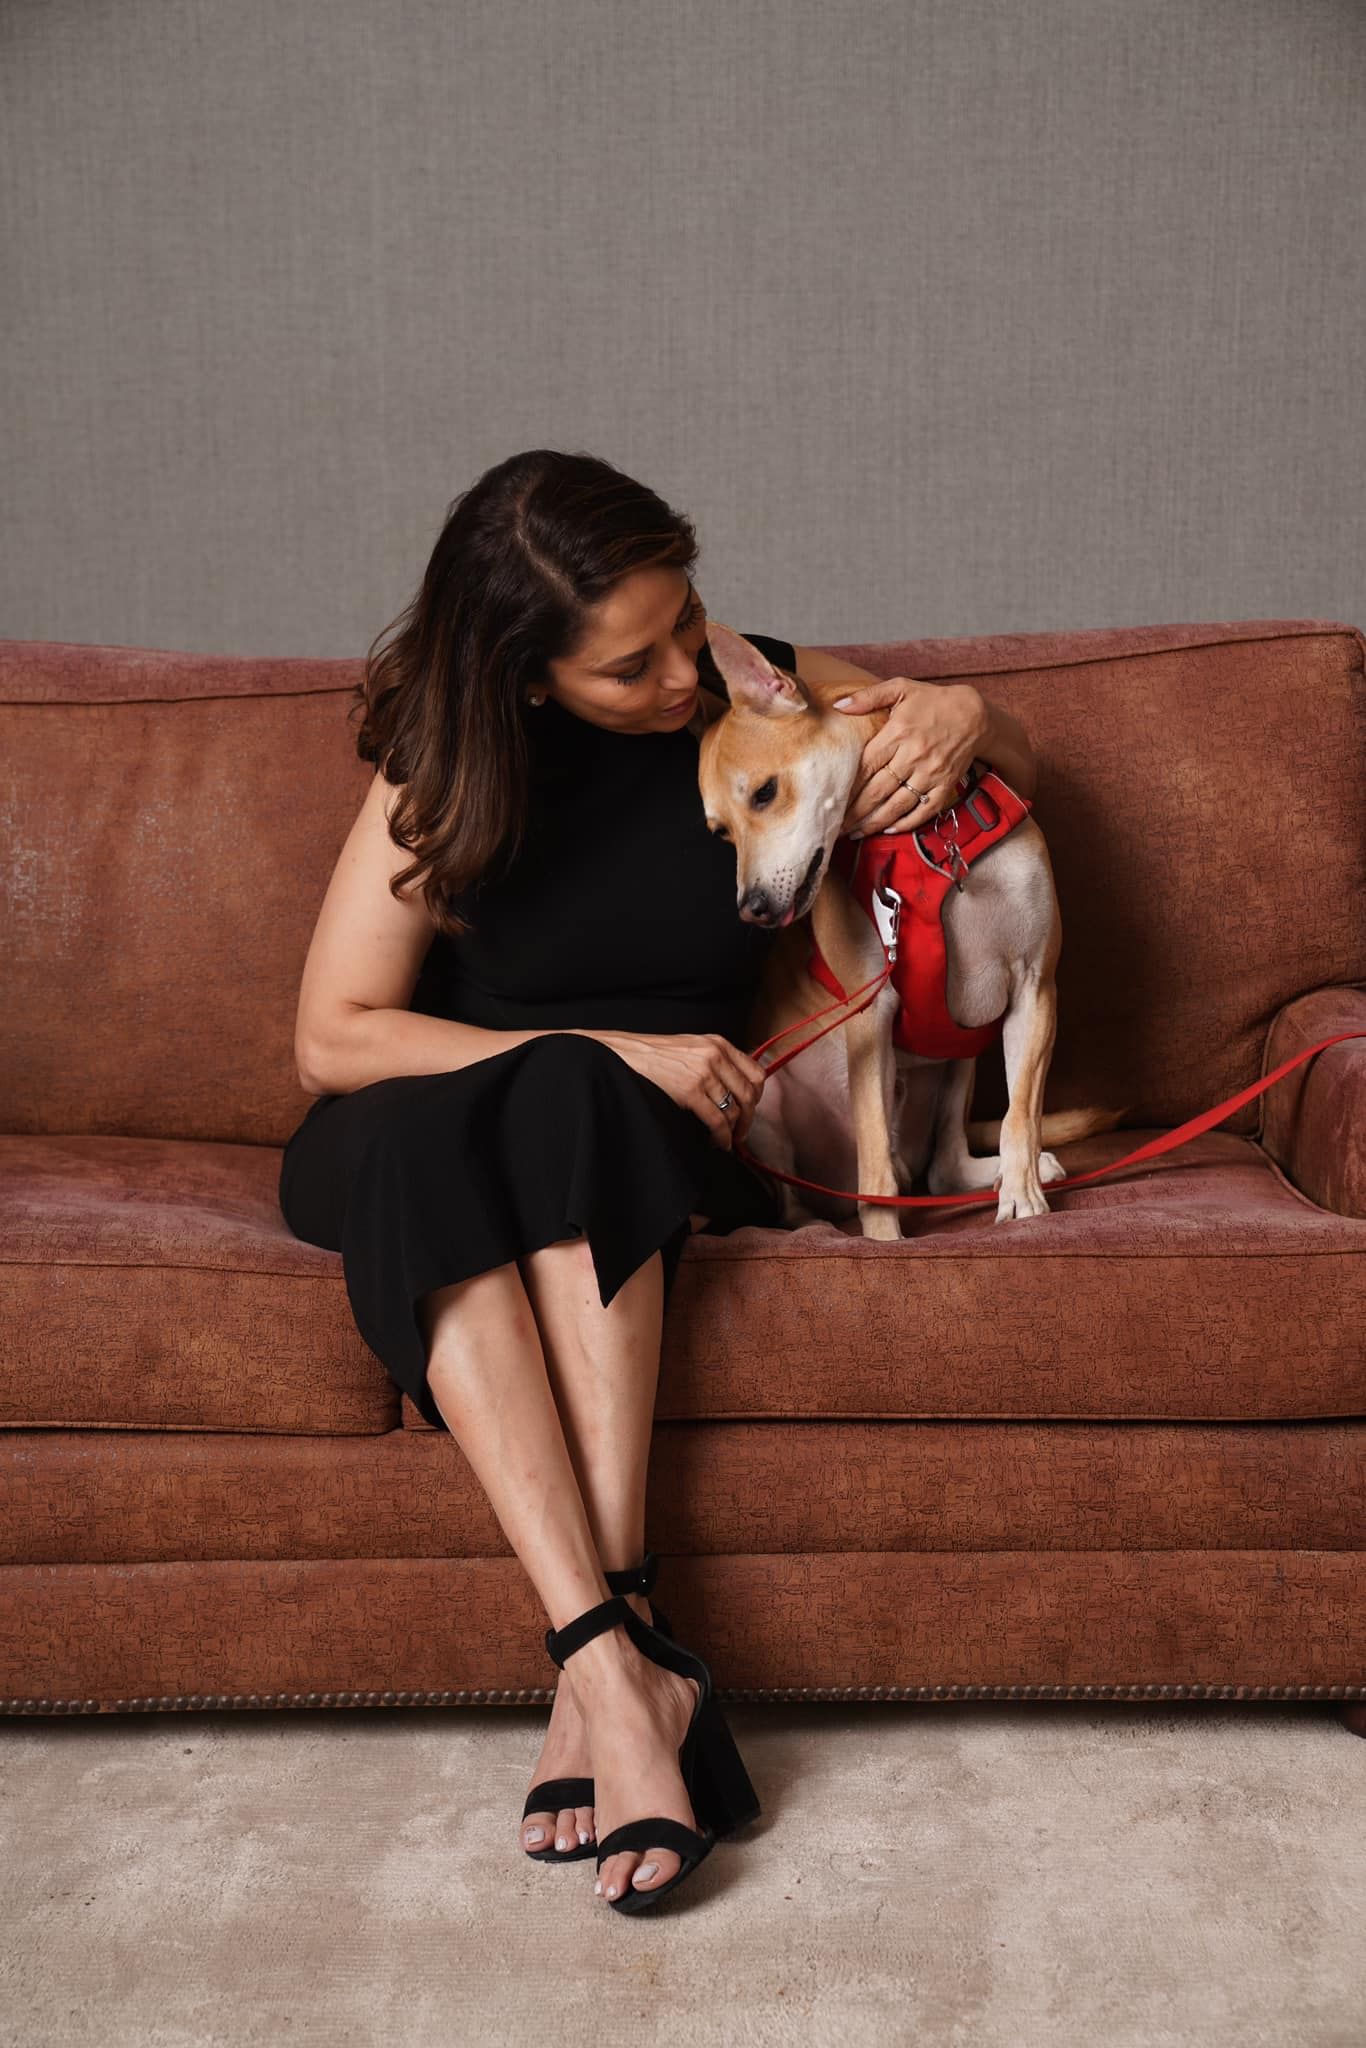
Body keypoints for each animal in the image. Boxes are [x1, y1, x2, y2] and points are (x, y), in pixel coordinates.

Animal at [694, 623, 1124, 1238]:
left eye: (765, 793)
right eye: (721, 833)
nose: (751, 909)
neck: (930, 840)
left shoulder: (1035, 990)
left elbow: (1020, 1115)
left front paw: (1022, 1197)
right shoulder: (870, 1016)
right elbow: (875, 1173)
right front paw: (882, 1242)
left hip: (963, 1052)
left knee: (943, 1169)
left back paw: (1007, 1171)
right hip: (758, 1090)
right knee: (810, 1194)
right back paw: (814, 1225)